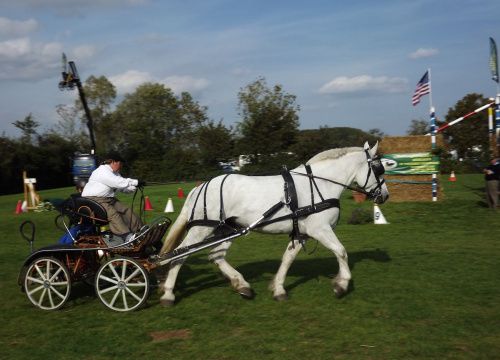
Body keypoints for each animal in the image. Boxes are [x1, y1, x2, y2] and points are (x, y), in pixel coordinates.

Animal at [158, 141, 388, 304]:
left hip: (229, 228)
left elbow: (287, 258)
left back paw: (242, 285)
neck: (319, 185)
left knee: (216, 256)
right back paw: (168, 294)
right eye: (379, 169)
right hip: (201, 228)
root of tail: (201, 187)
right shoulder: (319, 230)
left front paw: (278, 289)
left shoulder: (303, 233)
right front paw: (342, 285)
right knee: (180, 254)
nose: (384, 195)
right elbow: (341, 251)